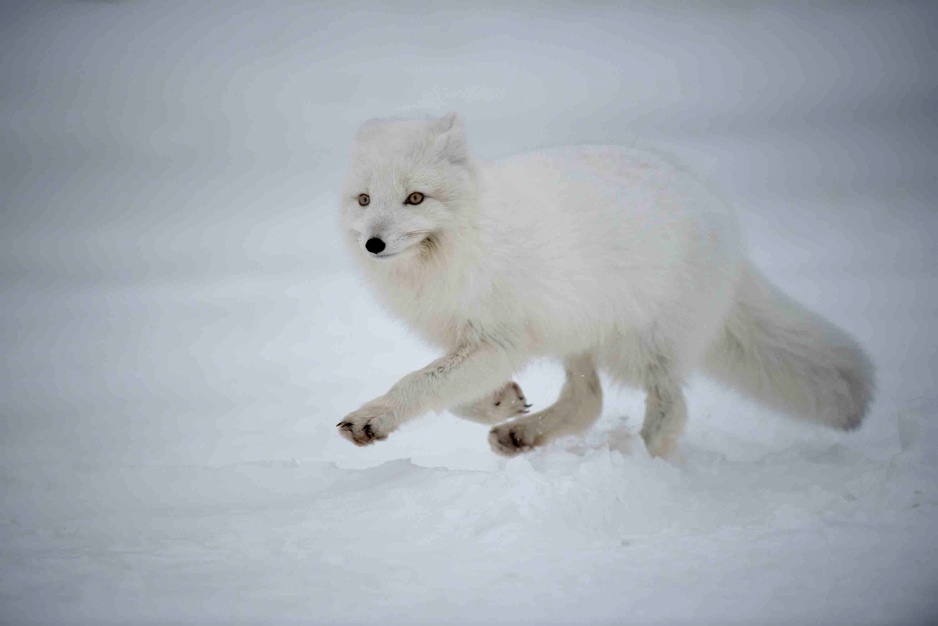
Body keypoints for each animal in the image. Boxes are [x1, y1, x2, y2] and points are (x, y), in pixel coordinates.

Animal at [334, 113, 872, 454]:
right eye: (364, 200)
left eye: (415, 198)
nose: (374, 245)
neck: (460, 246)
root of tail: (725, 220)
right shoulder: (473, 339)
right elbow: (450, 392)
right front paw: (500, 403)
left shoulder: (500, 339)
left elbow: (420, 381)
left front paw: (372, 417)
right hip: (576, 332)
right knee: (588, 401)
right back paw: (523, 434)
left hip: (643, 345)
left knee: (671, 405)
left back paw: (647, 460)